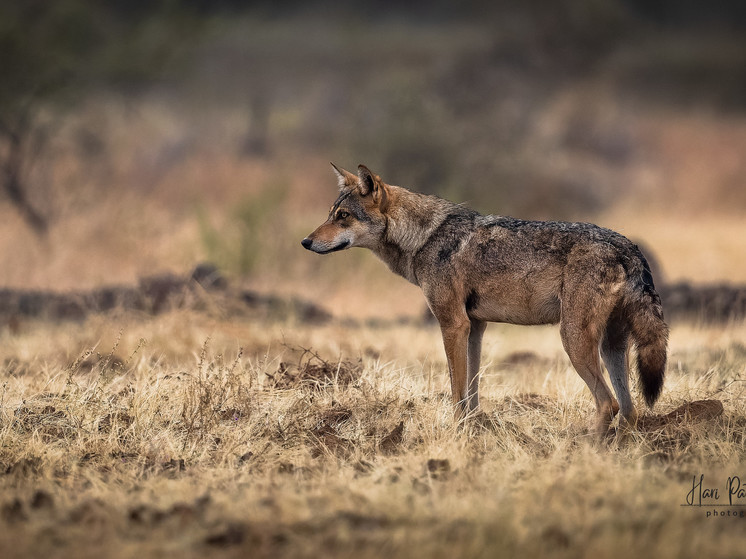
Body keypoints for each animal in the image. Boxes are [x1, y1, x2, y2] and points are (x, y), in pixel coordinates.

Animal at [300, 163, 664, 438]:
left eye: (344, 216)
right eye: (331, 214)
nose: (305, 242)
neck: (424, 238)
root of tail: (627, 245)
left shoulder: (453, 325)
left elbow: (457, 390)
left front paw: (456, 433)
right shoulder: (475, 327)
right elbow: (472, 391)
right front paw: (474, 430)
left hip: (573, 339)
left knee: (609, 404)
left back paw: (587, 447)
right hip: (611, 346)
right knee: (629, 409)